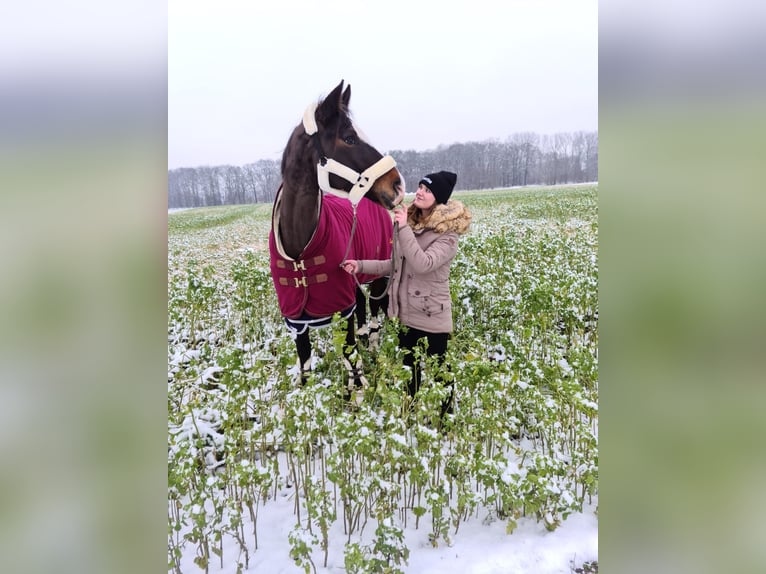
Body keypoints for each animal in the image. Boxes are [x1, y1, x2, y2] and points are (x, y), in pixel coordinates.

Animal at [268, 80, 404, 396]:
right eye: (349, 138)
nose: (397, 185)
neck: (300, 250)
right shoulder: (296, 321)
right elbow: (305, 362)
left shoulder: (343, 308)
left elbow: (349, 351)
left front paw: (358, 390)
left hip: (378, 274)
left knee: (374, 313)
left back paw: (373, 347)